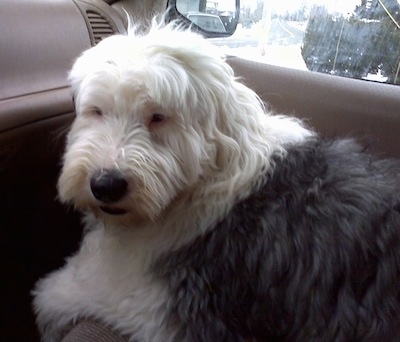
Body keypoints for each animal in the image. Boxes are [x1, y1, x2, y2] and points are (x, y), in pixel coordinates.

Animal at [32, 22, 400, 340]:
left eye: (159, 117)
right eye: (97, 111)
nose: (106, 185)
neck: (203, 183)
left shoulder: (163, 308)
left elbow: (56, 295)